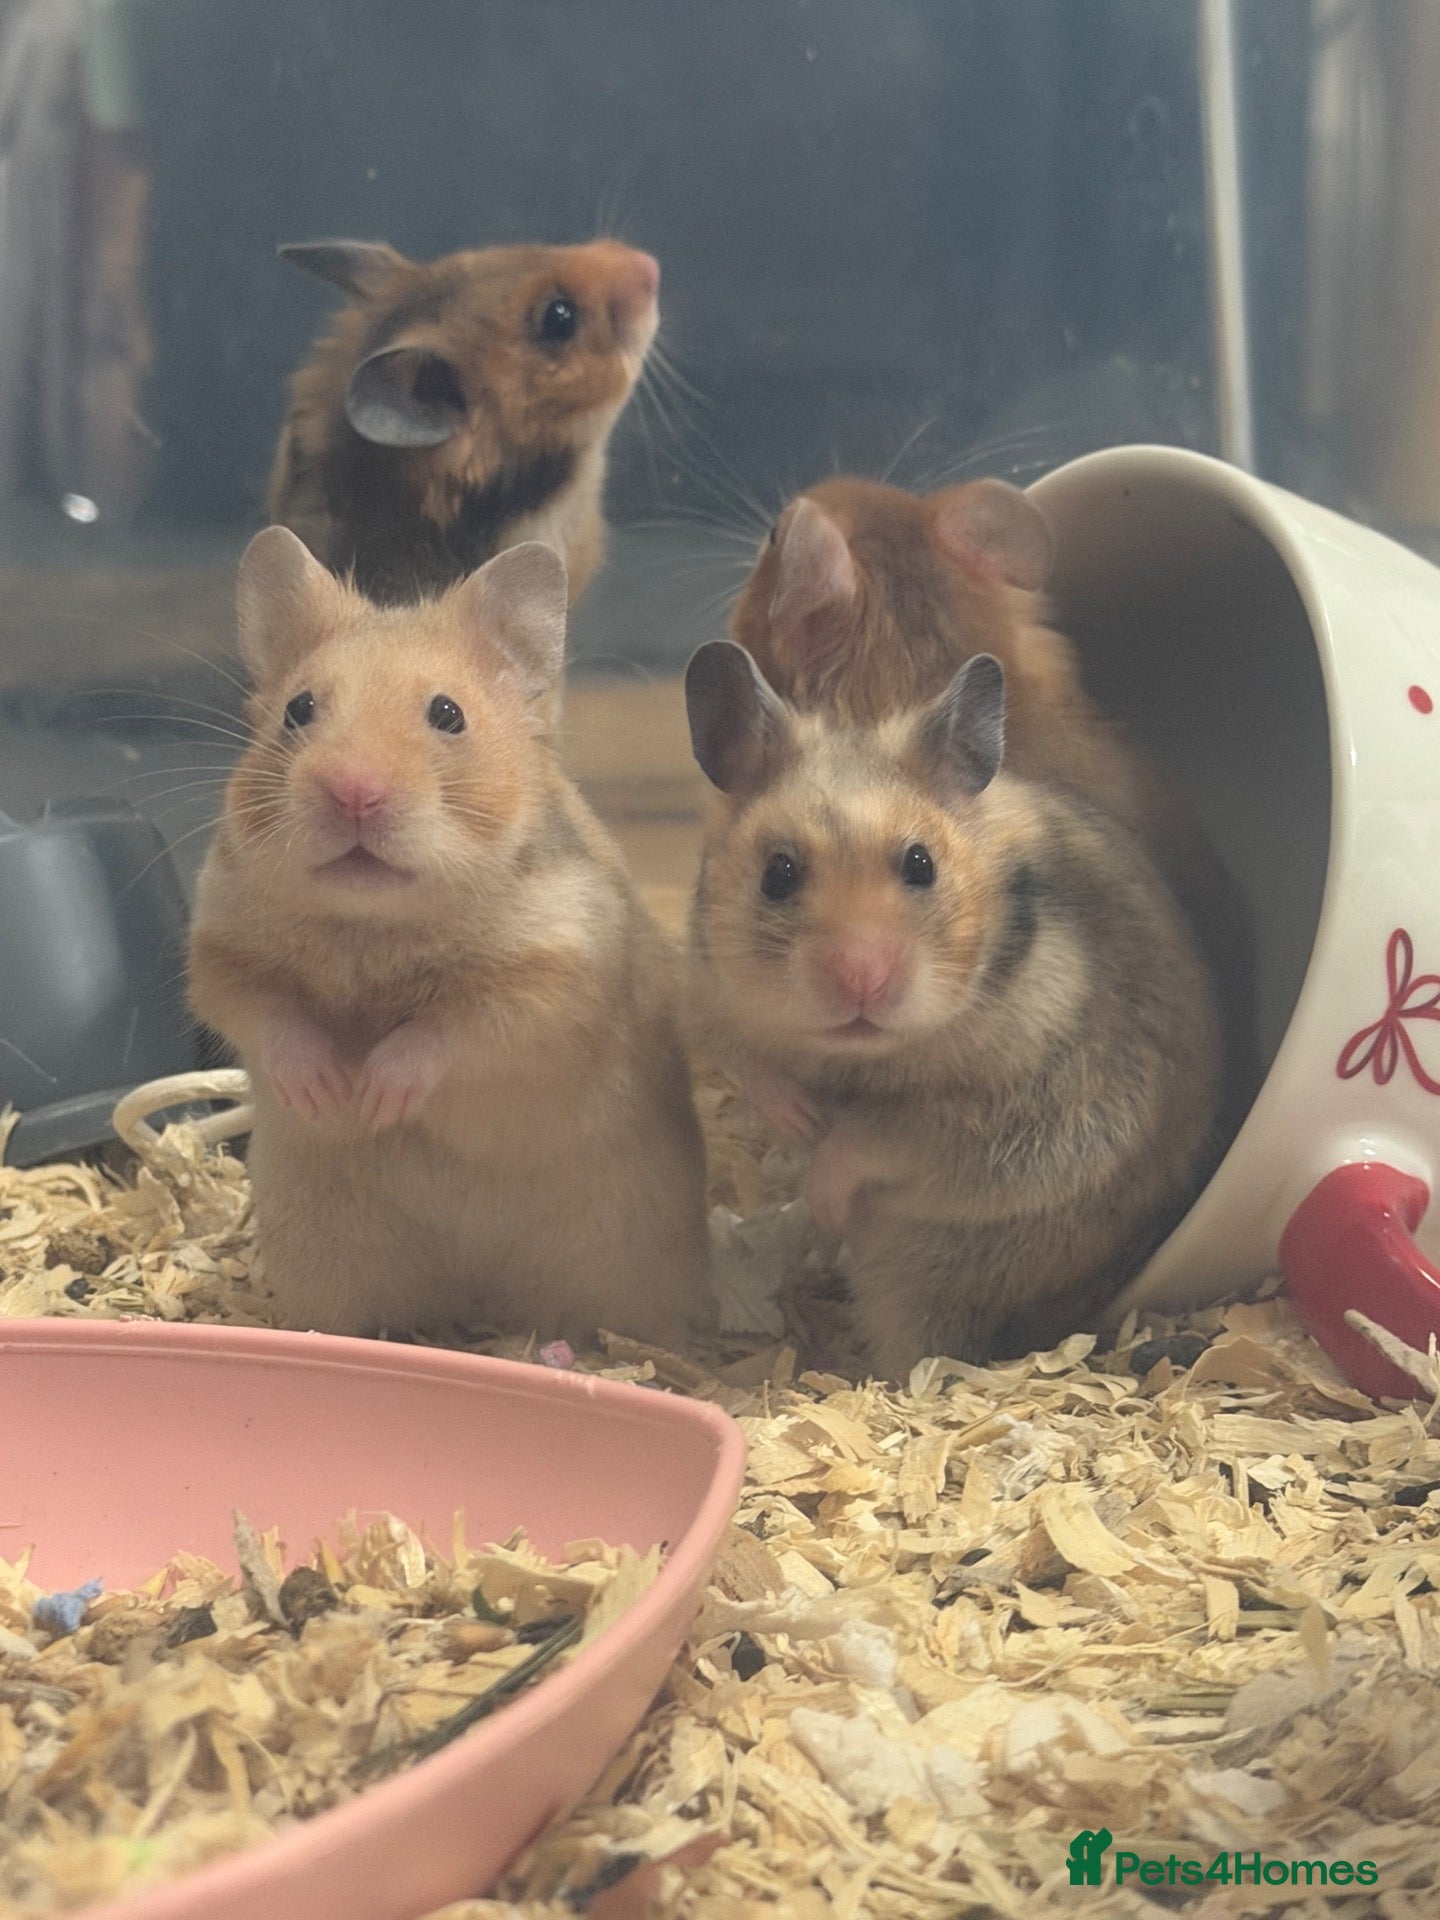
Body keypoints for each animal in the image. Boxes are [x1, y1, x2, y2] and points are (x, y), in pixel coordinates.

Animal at [189, 527, 708, 1345]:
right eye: (298, 710)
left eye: (447, 713)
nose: (353, 791)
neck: (373, 925)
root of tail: (478, 1303)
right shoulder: (221, 950)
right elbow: (272, 1017)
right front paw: (329, 1095)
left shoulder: (552, 979)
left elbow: (445, 1034)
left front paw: (374, 1096)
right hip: (330, 1266)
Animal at [684, 639, 1222, 1378]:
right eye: (778, 874)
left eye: (921, 864)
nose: (862, 980)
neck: (861, 1057)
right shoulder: (708, 994)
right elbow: (752, 1065)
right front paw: (798, 1119)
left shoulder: (999, 1112)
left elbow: (869, 1139)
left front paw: (824, 1197)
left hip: (936, 1268)